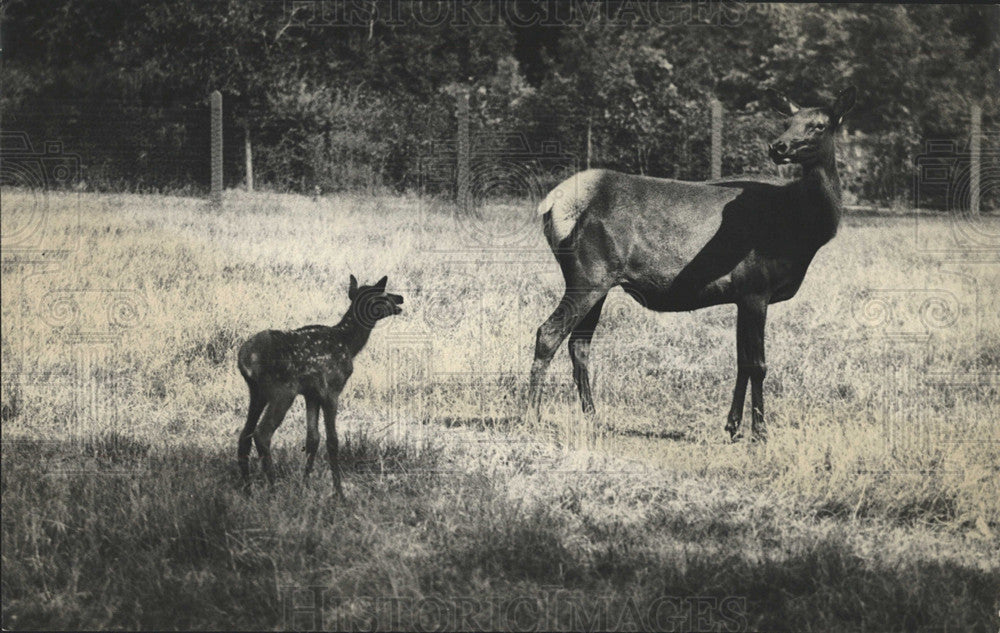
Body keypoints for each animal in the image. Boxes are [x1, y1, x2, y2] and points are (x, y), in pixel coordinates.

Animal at [237, 274, 402, 496]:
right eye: (382, 294)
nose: (400, 298)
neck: (348, 344)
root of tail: (245, 358)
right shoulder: (331, 389)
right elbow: (332, 440)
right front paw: (339, 493)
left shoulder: (311, 393)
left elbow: (312, 439)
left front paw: (304, 485)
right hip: (282, 390)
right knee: (262, 433)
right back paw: (273, 489)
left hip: (257, 392)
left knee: (244, 435)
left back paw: (248, 490)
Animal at [528, 85, 856, 440]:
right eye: (788, 123)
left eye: (819, 125)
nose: (778, 146)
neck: (802, 230)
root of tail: (552, 205)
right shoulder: (757, 288)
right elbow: (758, 364)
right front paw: (760, 431)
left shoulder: (742, 294)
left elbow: (741, 362)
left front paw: (732, 426)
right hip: (588, 274)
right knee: (548, 333)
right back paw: (530, 415)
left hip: (599, 282)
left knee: (580, 344)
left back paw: (592, 416)